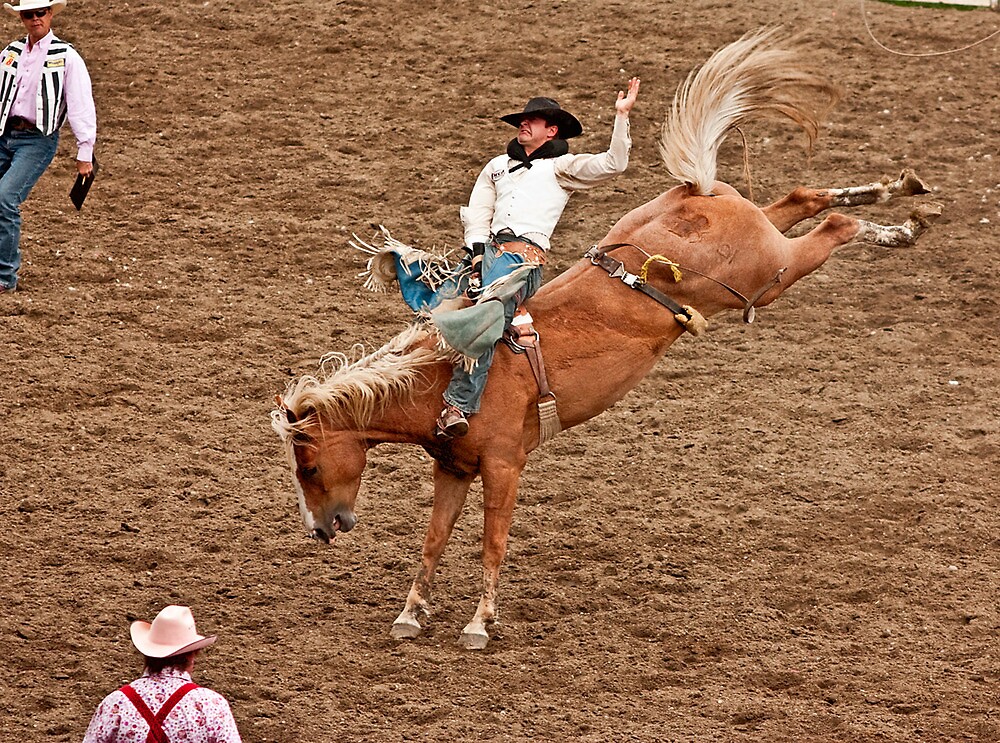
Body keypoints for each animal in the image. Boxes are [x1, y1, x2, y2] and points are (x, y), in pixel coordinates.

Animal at [272, 29, 936, 648]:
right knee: (802, 198)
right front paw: (411, 613)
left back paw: (904, 224)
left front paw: (480, 623)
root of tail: (698, 192)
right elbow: (434, 540)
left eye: (309, 463)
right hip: (763, 238)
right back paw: (903, 192)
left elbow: (491, 543)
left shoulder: (504, 466)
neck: (440, 378)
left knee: (833, 223)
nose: (321, 529)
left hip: (767, 275)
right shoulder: (453, 470)